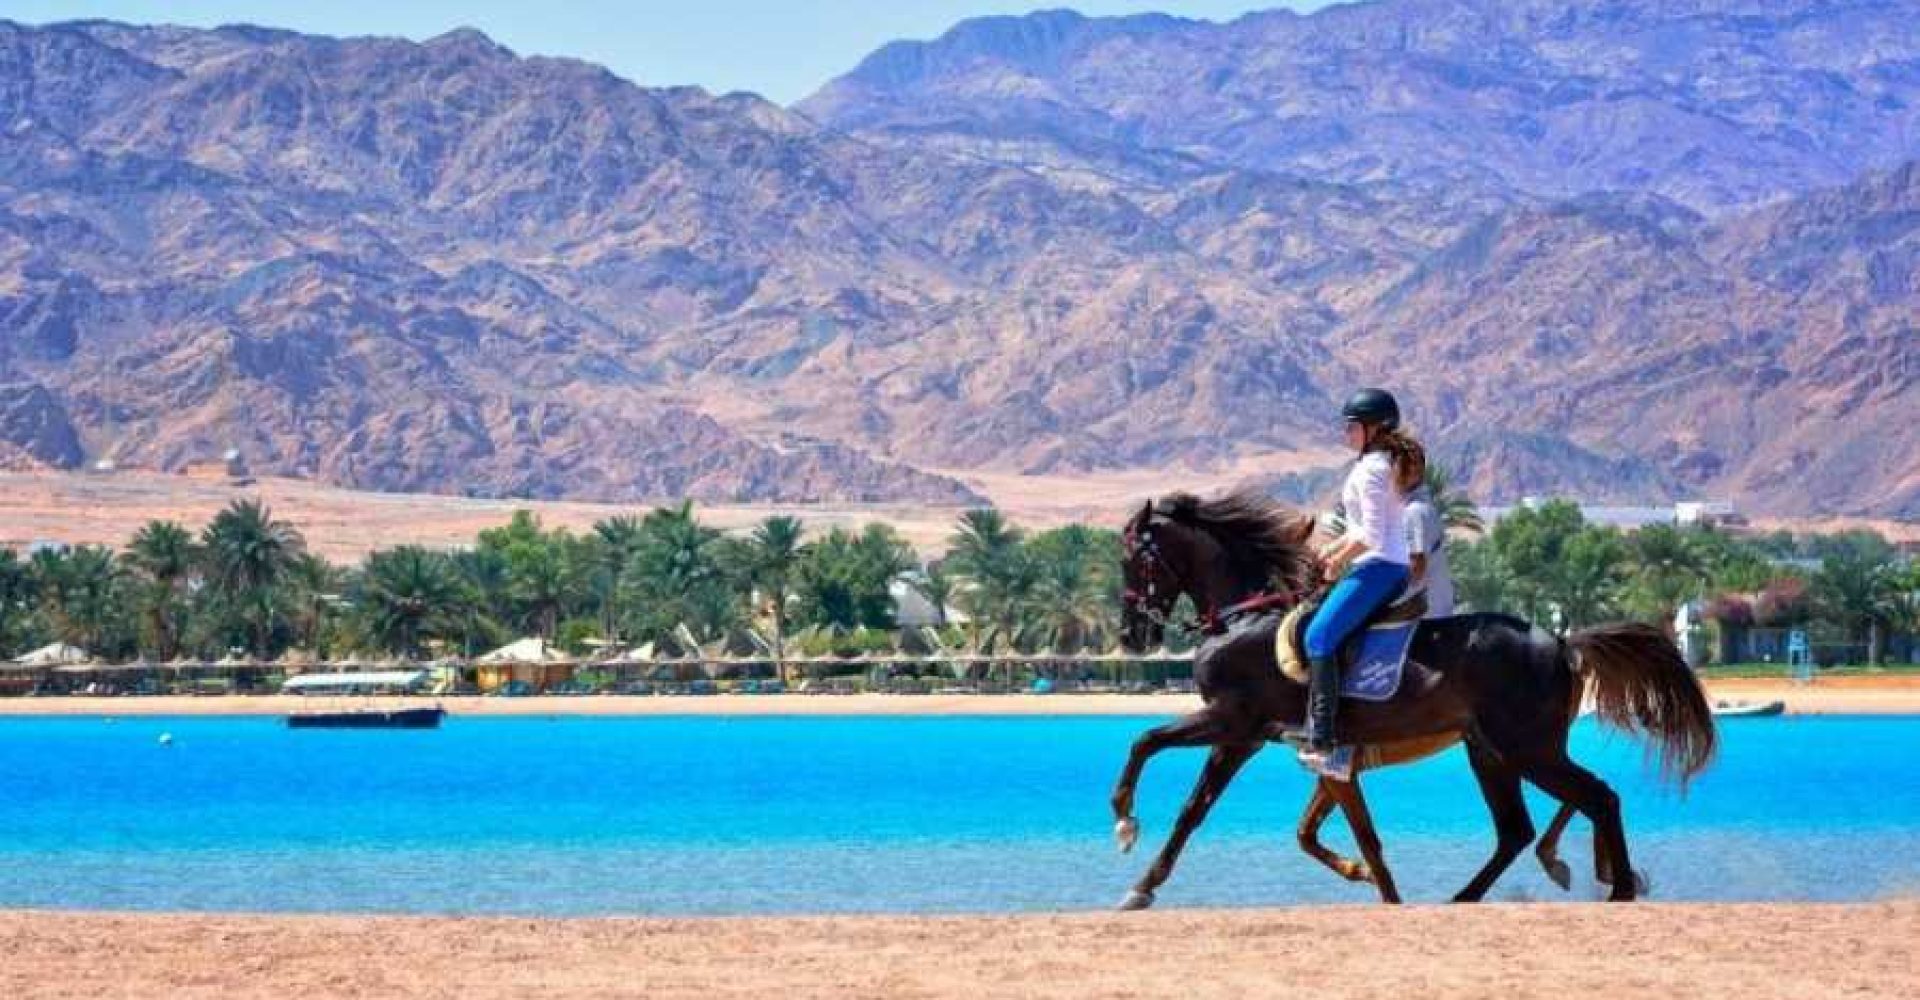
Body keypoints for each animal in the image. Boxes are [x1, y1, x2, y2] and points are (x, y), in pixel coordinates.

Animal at [1110, 491, 1715, 909]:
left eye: (1133, 560)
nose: (1132, 636)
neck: (1247, 615)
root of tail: (1564, 642)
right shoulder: (1248, 739)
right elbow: (1197, 809)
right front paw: (1142, 887)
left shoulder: (1233, 720)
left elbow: (1145, 741)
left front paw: (1123, 820)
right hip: (1493, 752)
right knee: (1520, 828)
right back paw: (1474, 895)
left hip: (1527, 748)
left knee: (1596, 798)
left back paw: (1616, 888)